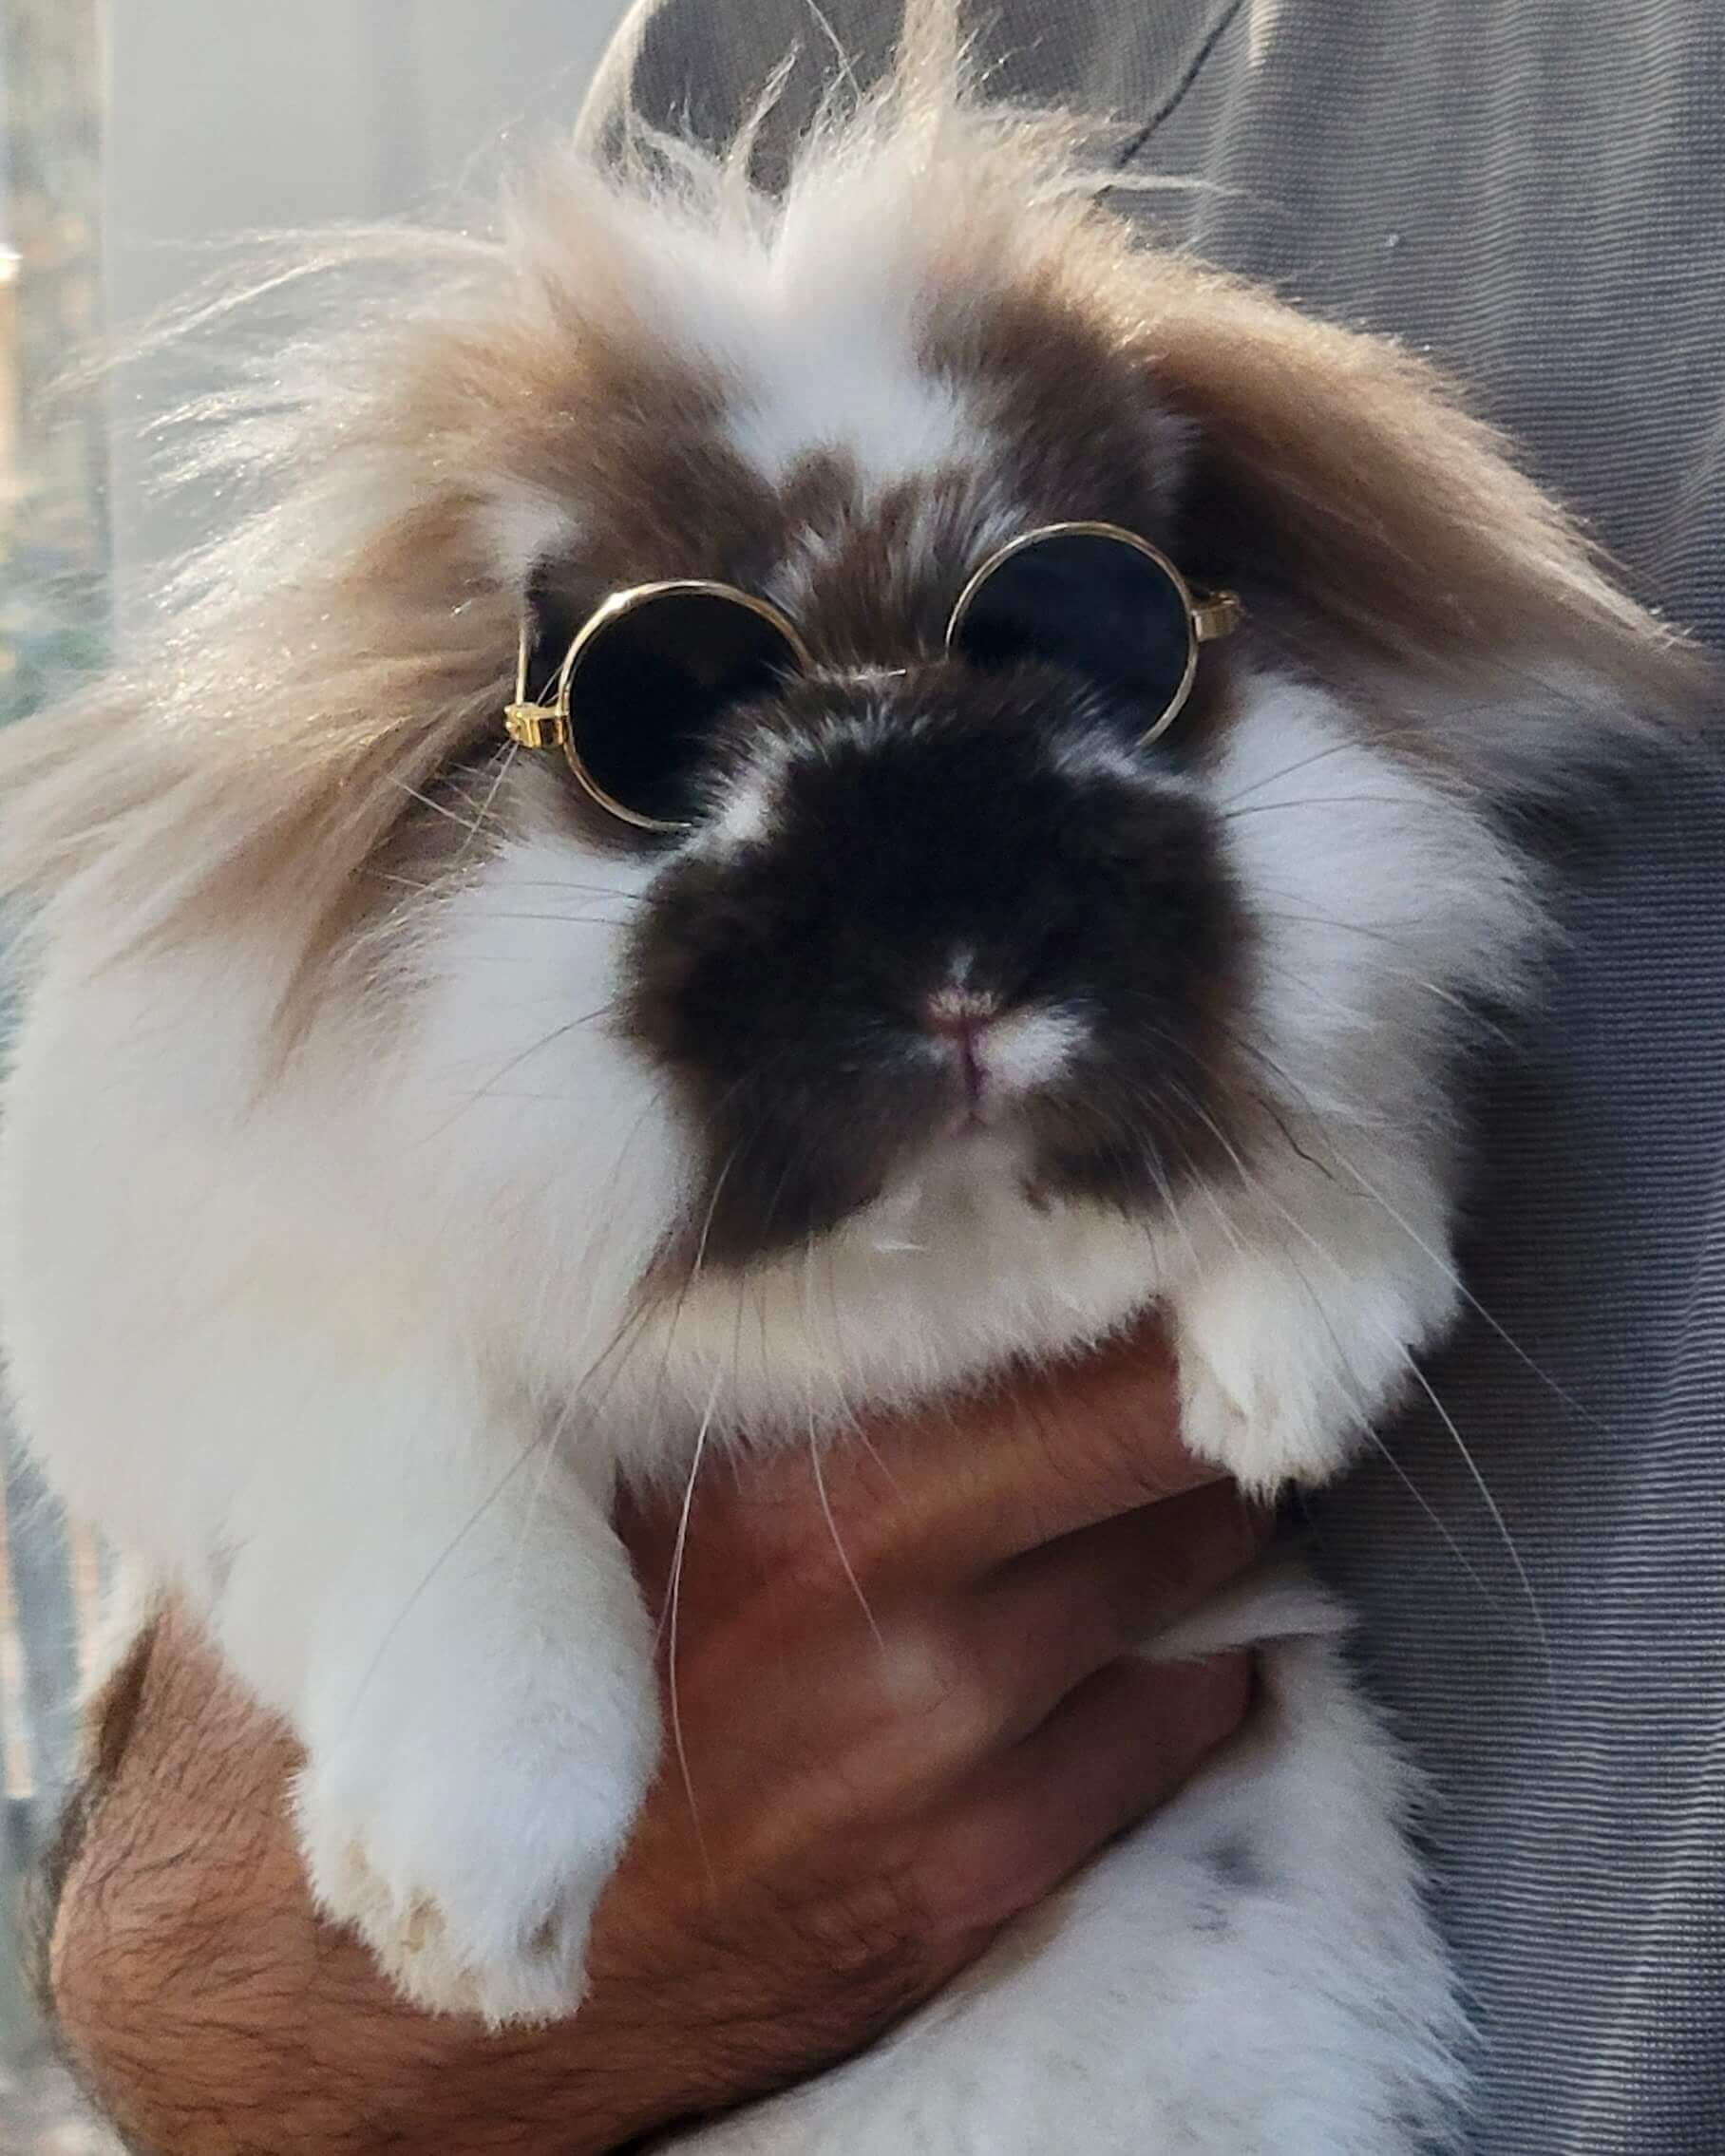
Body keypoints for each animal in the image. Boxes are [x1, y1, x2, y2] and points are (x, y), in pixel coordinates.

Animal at [0, 8, 1698, 2147]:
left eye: (1116, 642)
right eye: (652, 719)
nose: (960, 969)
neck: (910, 1256)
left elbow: (1343, 1118)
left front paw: (1291, 1380)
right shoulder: (197, 1325)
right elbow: (428, 1489)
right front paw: (475, 1914)